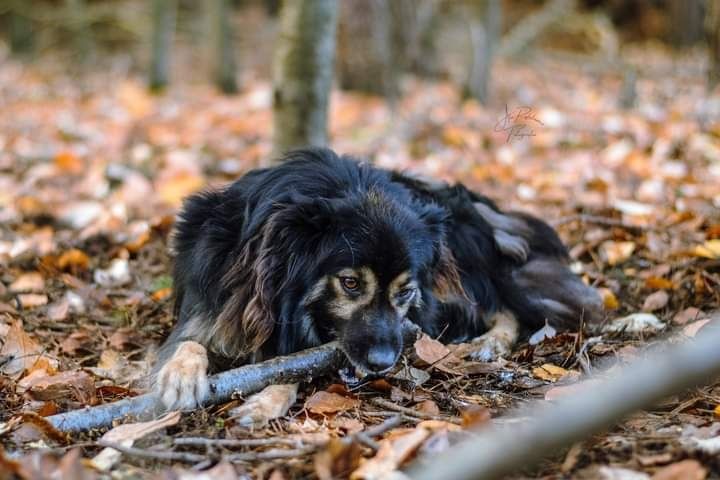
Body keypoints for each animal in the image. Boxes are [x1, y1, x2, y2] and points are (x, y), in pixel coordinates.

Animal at [153, 147, 600, 408]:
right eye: (350, 283)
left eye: (405, 291)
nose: (383, 364)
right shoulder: (209, 303)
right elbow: (190, 341)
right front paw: (179, 375)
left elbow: (291, 368)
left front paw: (267, 400)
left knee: (502, 306)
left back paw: (486, 343)